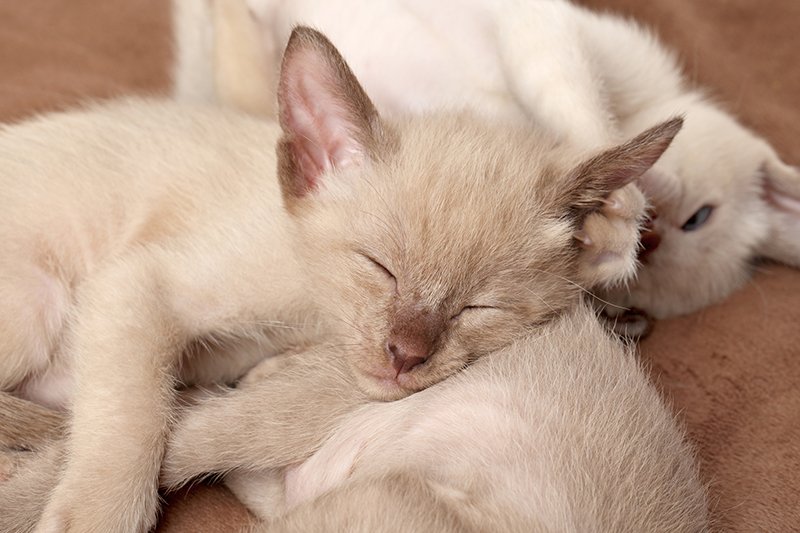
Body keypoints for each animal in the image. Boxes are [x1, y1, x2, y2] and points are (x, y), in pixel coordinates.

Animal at [175, 0, 800, 320]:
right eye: (701, 217)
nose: (651, 240)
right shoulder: (545, 27)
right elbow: (574, 99)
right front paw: (621, 197)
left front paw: (597, 230)